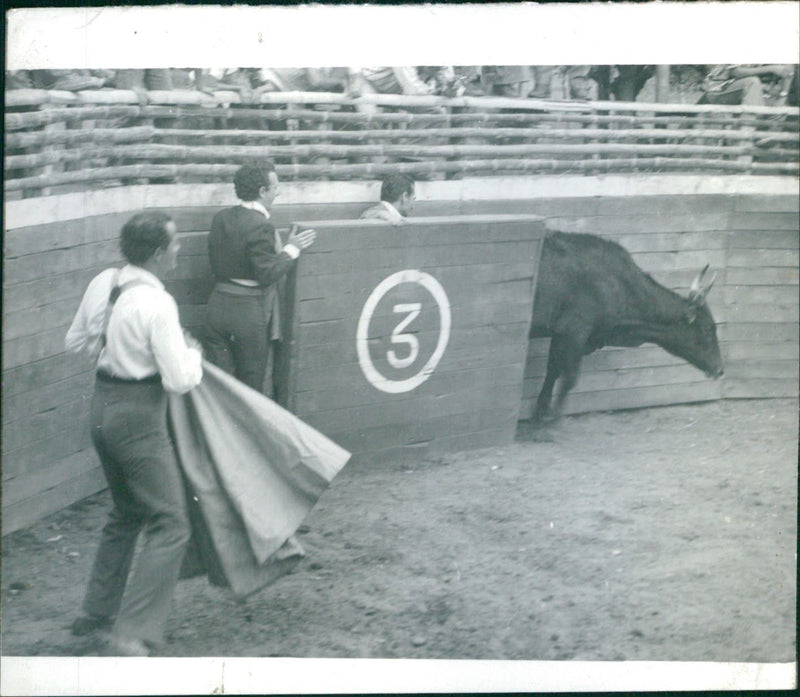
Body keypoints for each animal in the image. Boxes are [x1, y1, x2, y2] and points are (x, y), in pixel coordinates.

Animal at [532, 231, 724, 422]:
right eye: (708, 328)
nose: (720, 370)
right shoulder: (573, 331)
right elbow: (568, 379)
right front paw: (552, 420)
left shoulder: (560, 335)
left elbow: (552, 371)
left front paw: (539, 414)